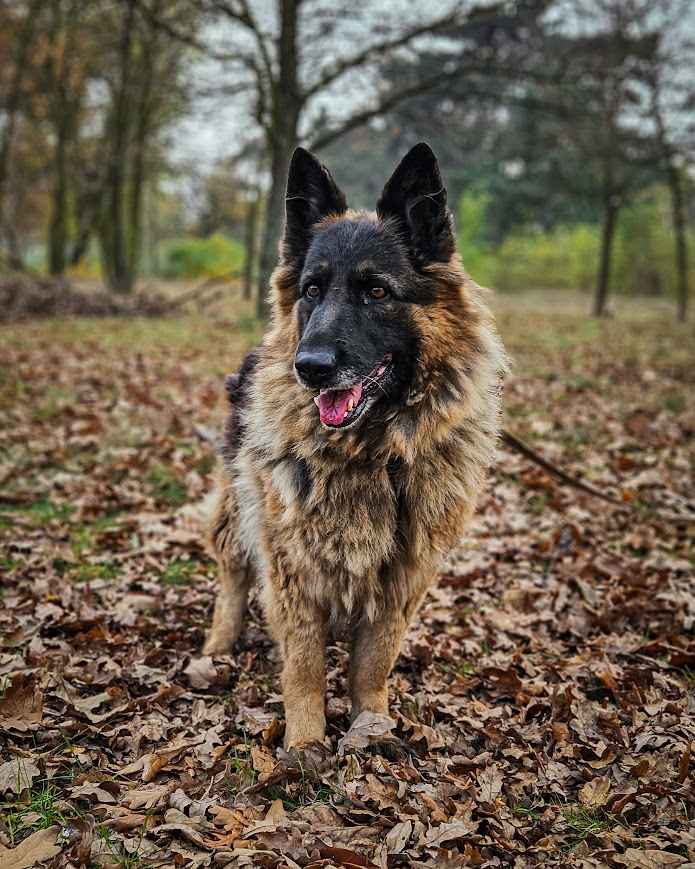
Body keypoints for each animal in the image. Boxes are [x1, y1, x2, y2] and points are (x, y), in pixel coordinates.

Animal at [201, 144, 506, 752]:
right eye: (312, 291)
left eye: (377, 292)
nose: (311, 368)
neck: (375, 454)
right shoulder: (293, 566)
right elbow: (304, 667)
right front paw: (305, 744)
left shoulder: (403, 574)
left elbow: (373, 663)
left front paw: (372, 724)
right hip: (239, 505)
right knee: (233, 573)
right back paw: (218, 647)